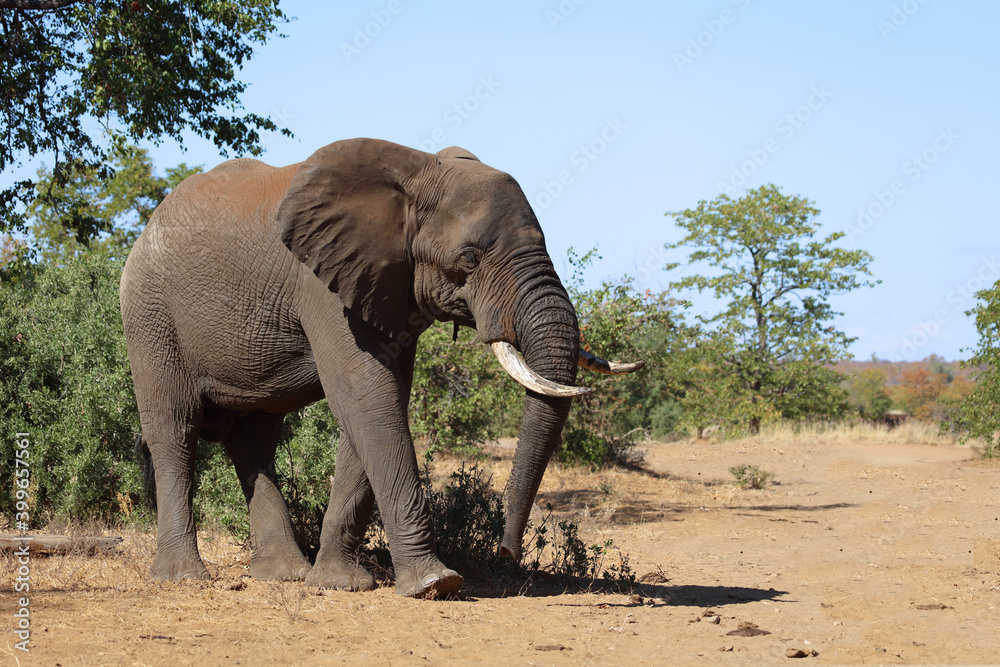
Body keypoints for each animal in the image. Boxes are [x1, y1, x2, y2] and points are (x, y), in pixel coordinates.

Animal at [120, 138, 642, 598]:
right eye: (469, 258)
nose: (506, 553)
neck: (417, 169)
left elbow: (376, 405)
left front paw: (339, 584)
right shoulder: (321, 283)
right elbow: (364, 394)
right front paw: (436, 584)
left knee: (253, 441)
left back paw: (284, 575)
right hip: (149, 315)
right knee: (175, 430)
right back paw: (183, 578)